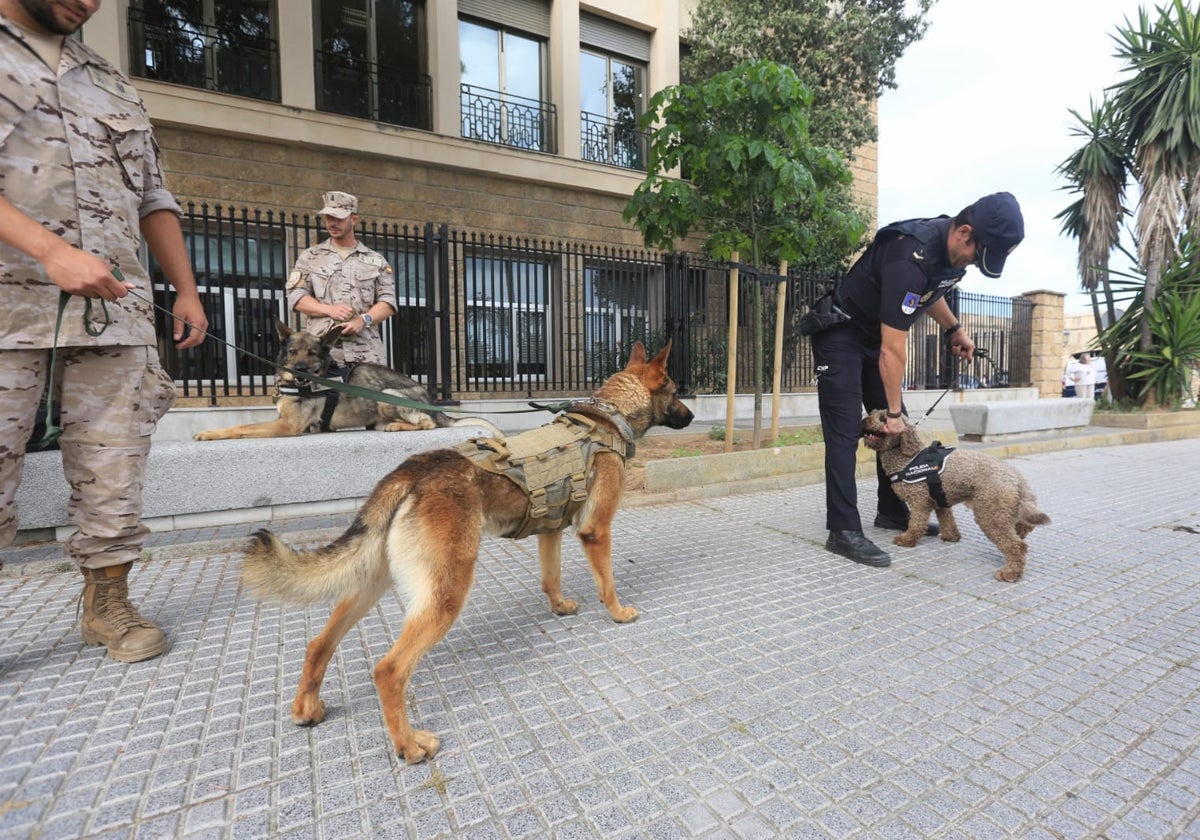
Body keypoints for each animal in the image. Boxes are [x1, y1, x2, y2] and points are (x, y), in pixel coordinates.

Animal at [864, 410, 1051, 580]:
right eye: (873, 412)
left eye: (883, 418)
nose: (864, 420)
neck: (906, 459)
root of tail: (1017, 479)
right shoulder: (941, 500)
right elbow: (947, 521)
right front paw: (951, 537)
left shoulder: (920, 501)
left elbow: (916, 524)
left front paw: (907, 539)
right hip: (1007, 509)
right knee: (1024, 528)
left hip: (990, 513)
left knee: (1017, 545)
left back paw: (1010, 573)